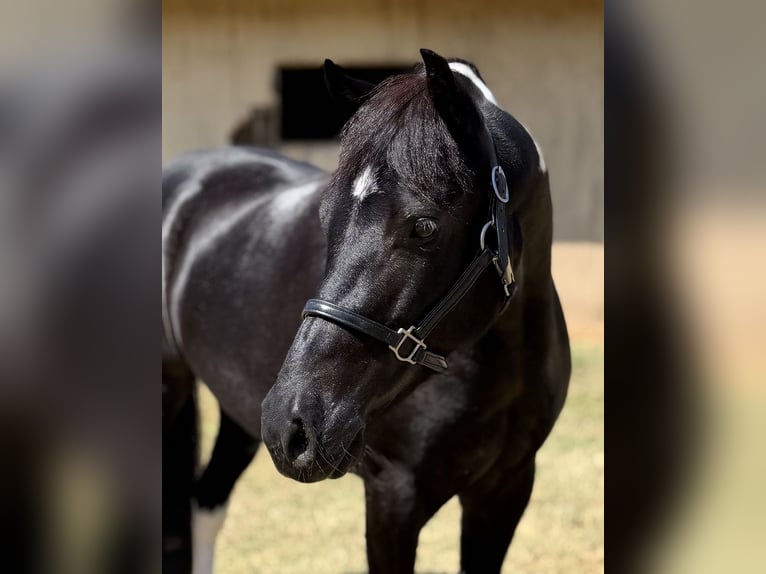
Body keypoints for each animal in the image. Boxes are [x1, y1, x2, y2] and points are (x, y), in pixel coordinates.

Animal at [162, 49, 570, 574]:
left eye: (424, 226)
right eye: (324, 216)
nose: (292, 425)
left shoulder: (506, 488)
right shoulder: (392, 494)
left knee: (206, 505)